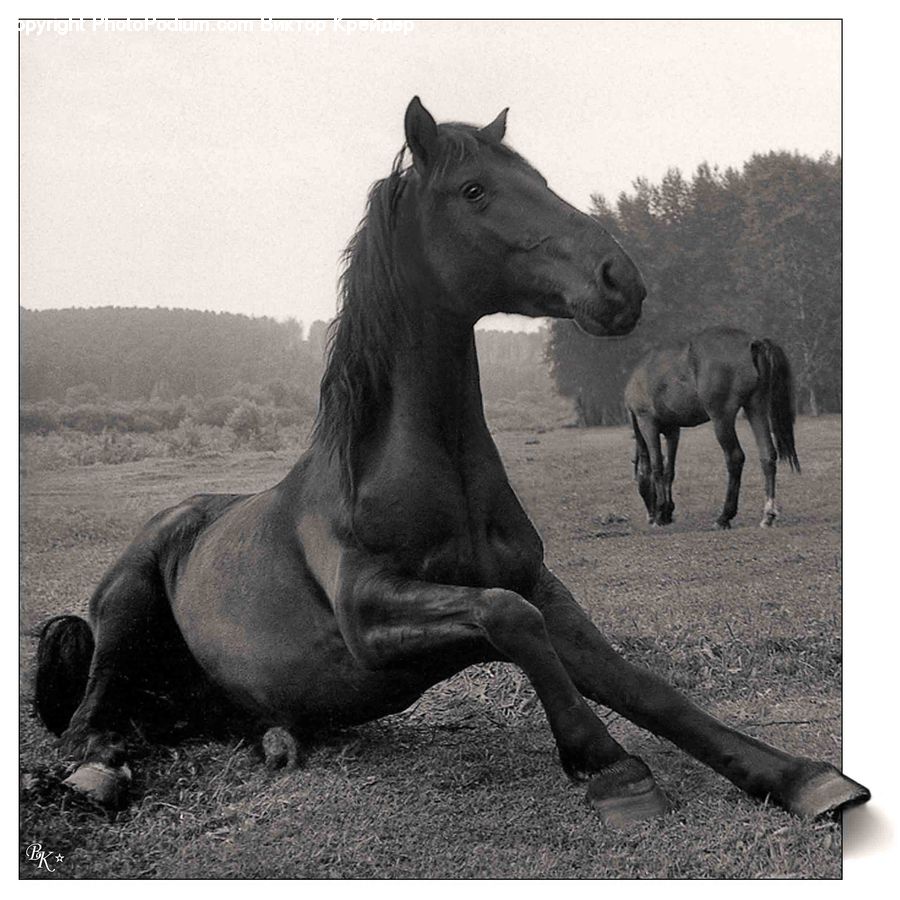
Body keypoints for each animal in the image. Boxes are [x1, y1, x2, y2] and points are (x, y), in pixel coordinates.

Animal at [625, 326, 801, 529]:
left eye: (640, 485)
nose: (650, 516)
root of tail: (753, 342)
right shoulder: (673, 431)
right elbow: (669, 470)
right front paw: (667, 511)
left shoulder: (647, 424)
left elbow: (657, 467)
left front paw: (662, 512)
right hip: (756, 408)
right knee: (767, 454)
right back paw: (768, 514)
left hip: (722, 419)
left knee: (735, 457)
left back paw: (724, 516)